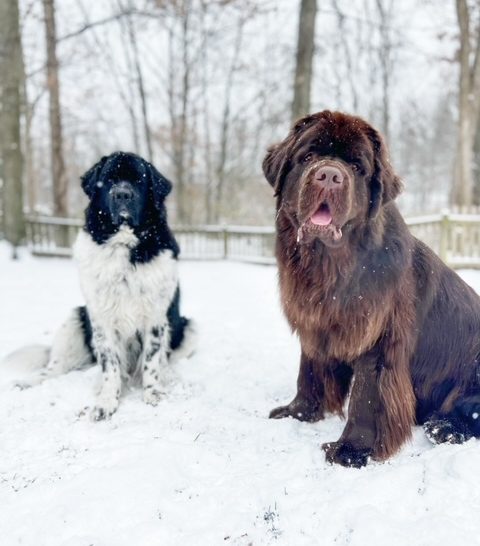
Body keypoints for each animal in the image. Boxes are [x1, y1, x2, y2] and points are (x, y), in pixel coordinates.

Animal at [31, 151, 195, 418]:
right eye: (108, 180)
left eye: (139, 180)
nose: (122, 194)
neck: (123, 244)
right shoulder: (101, 318)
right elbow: (110, 364)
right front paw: (106, 401)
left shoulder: (155, 317)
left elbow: (151, 360)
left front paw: (152, 393)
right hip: (74, 319)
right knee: (55, 366)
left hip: (188, 328)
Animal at [262, 109, 480, 464]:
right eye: (307, 156)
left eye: (356, 167)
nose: (329, 175)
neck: (331, 267)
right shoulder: (315, 324)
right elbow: (309, 371)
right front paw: (298, 412)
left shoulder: (379, 337)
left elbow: (368, 396)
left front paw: (351, 450)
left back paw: (446, 427)